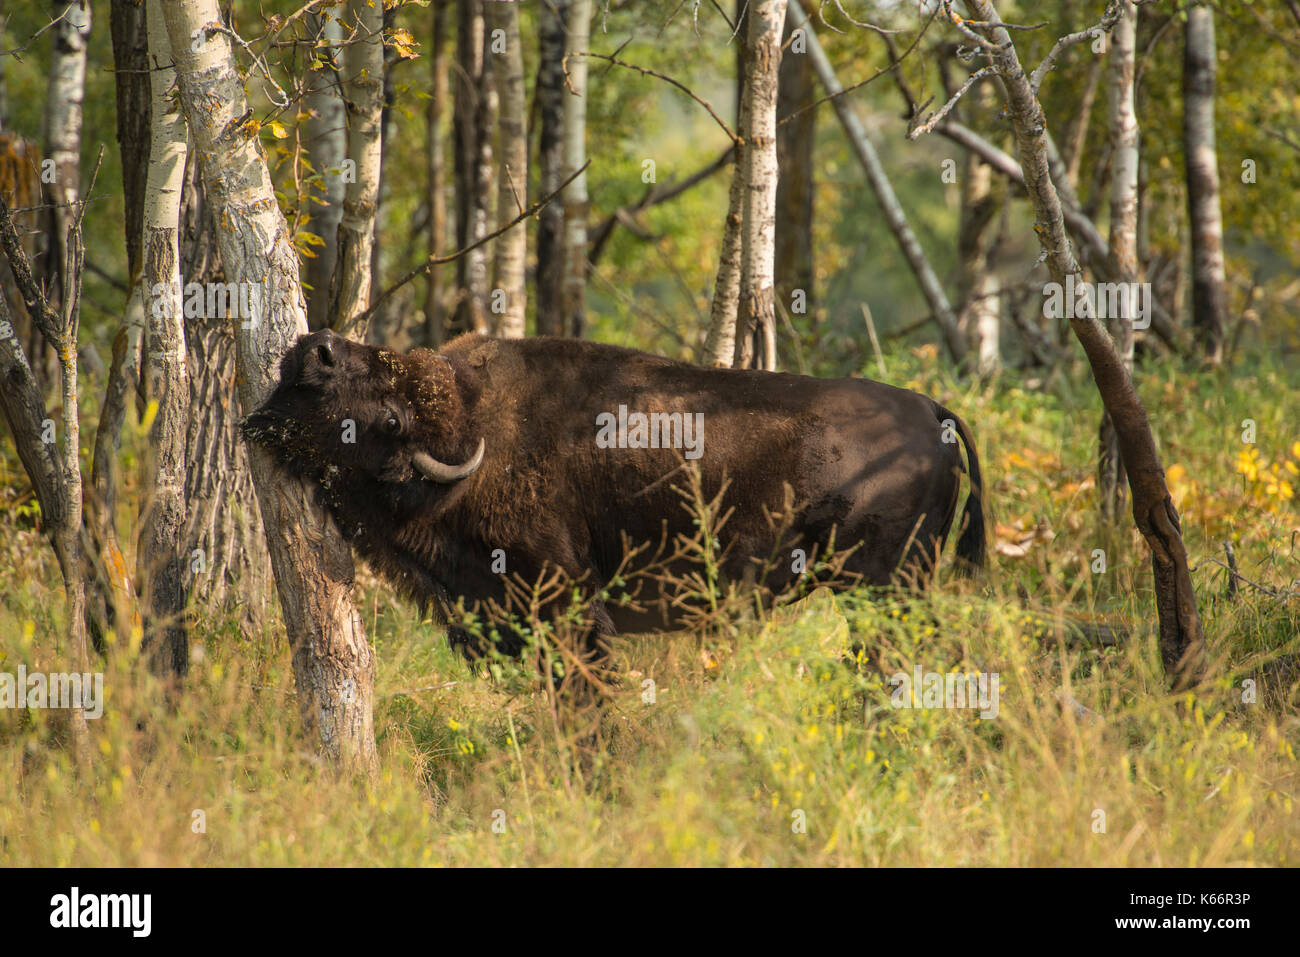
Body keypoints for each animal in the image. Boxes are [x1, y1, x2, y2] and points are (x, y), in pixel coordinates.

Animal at [239, 332, 977, 686]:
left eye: (390, 417)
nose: (319, 347)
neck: (473, 433)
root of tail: (931, 409)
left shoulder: (565, 603)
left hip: (885, 589)